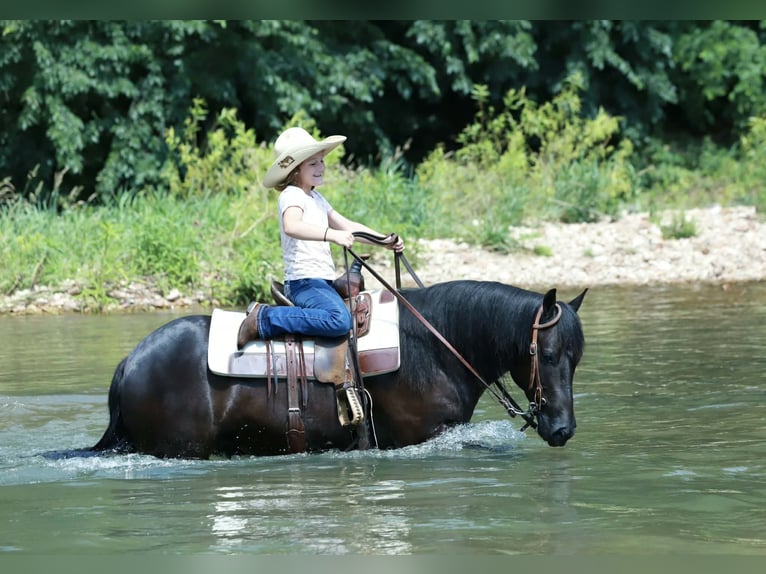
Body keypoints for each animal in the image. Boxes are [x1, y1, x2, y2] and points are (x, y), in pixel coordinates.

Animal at [88, 281, 587, 458]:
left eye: (577, 358)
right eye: (546, 355)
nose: (563, 429)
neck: (436, 348)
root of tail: (130, 362)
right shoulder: (427, 436)